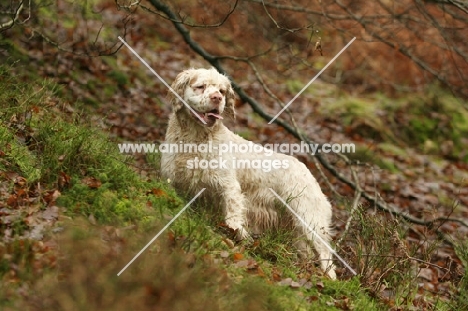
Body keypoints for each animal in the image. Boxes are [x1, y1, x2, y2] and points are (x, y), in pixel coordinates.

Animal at [161, 68, 336, 280]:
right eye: (201, 86)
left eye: (222, 90)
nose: (217, 97)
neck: (195, 139)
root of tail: (313, 178)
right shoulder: (175, 180)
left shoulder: (229, 187)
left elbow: (233, 219)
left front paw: (239, 236)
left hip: (310, 220)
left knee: (327, 257)